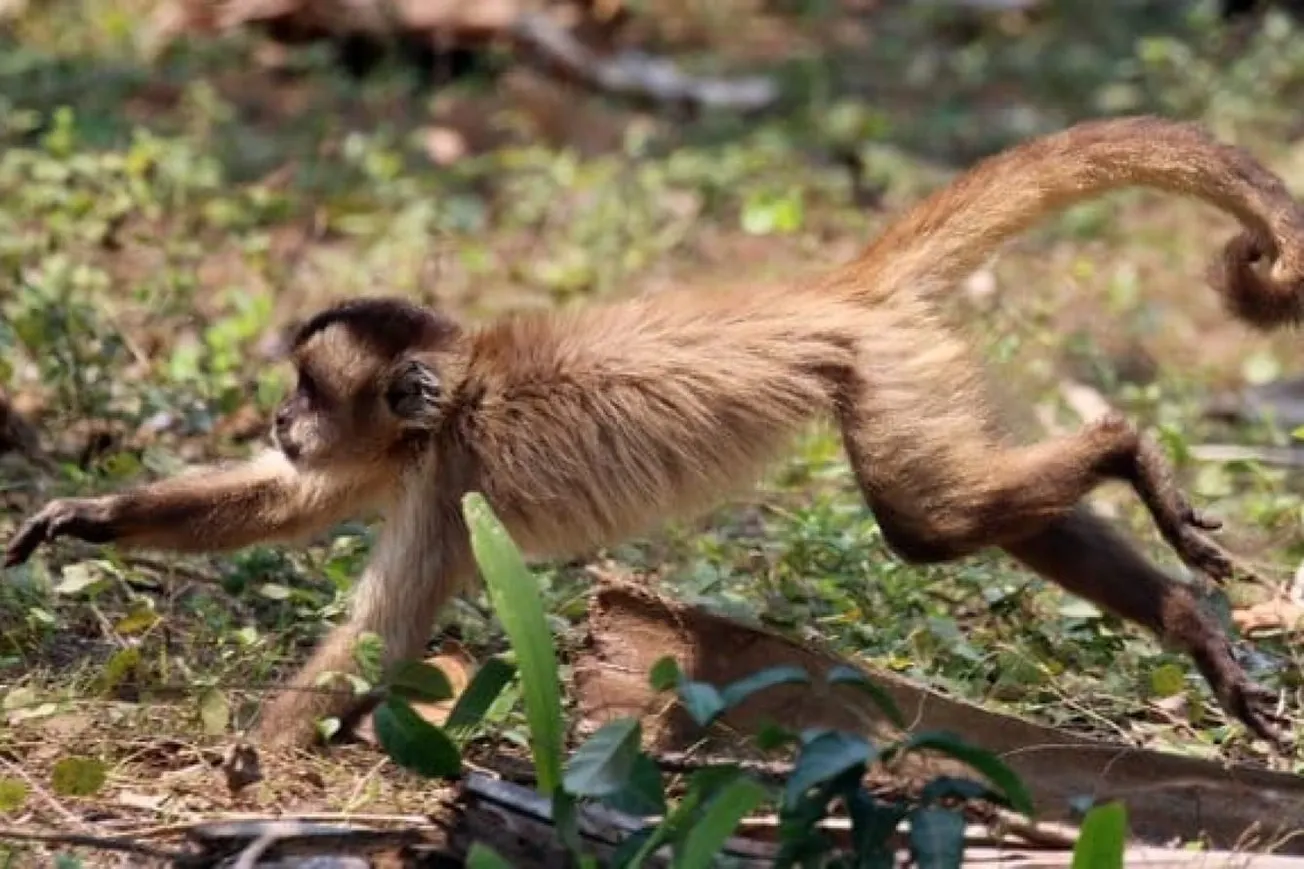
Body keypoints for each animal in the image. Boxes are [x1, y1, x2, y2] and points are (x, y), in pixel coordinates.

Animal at [7, 116, 1304, 751]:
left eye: (310, 391)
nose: (279, 417)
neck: (456, 398)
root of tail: (833, 288)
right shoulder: (400, 461)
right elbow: (287, 503)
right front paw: (91, 515)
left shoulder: (443, 476)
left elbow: (379, 628)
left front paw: (248, 762)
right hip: (908, 370)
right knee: (947, 515)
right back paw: (1184, 616)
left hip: (878, 371)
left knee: (921, 522)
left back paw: (1124, 444)